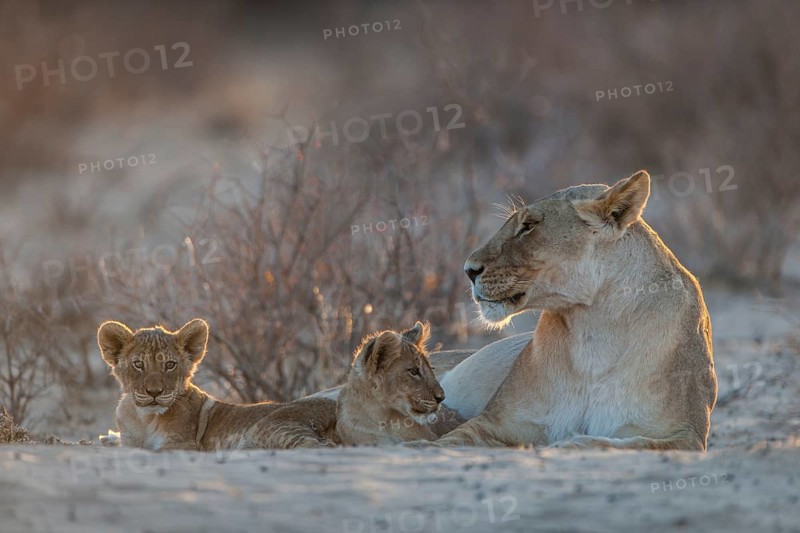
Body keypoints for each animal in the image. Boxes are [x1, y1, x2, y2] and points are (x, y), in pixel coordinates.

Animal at [97, 318, 338, 451]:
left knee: (320, 446)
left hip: (269, 426)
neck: (144, 419)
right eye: (138, 364)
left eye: (170, 364)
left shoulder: (185, 446)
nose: (154, 392)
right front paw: (108, 438)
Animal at [434, 170, 717, 451]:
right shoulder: (496, 422)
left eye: (528, 226)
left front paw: (569, 443)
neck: (594, 327)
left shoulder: (686, 434)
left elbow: (623, 443)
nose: (469, 270)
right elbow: (449, 441)